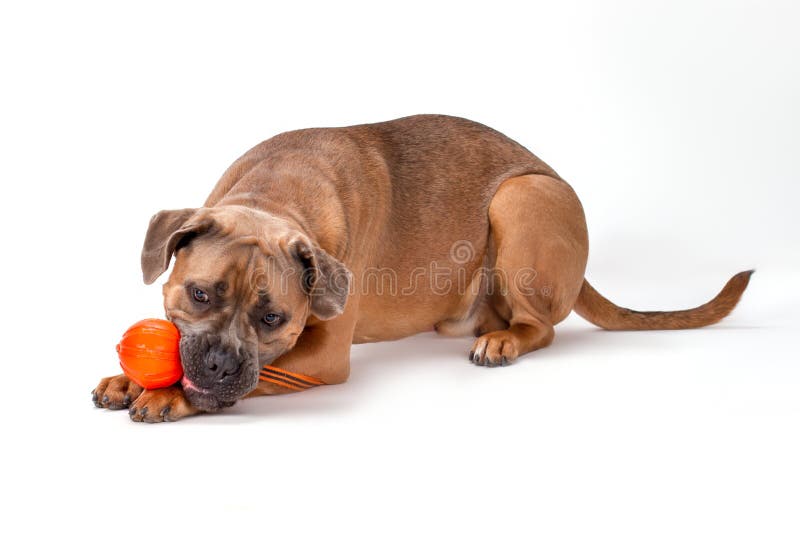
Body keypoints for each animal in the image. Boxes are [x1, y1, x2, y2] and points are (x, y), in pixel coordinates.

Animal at [92, 116, 752, 422]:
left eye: (273, 318)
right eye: (199, 295)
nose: (221, 364)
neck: (275, 197)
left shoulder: (319, 358)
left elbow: (256, 377)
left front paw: (168, 394)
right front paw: (131, 378)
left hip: (521, 198)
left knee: (542, 327)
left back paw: (504, 340)